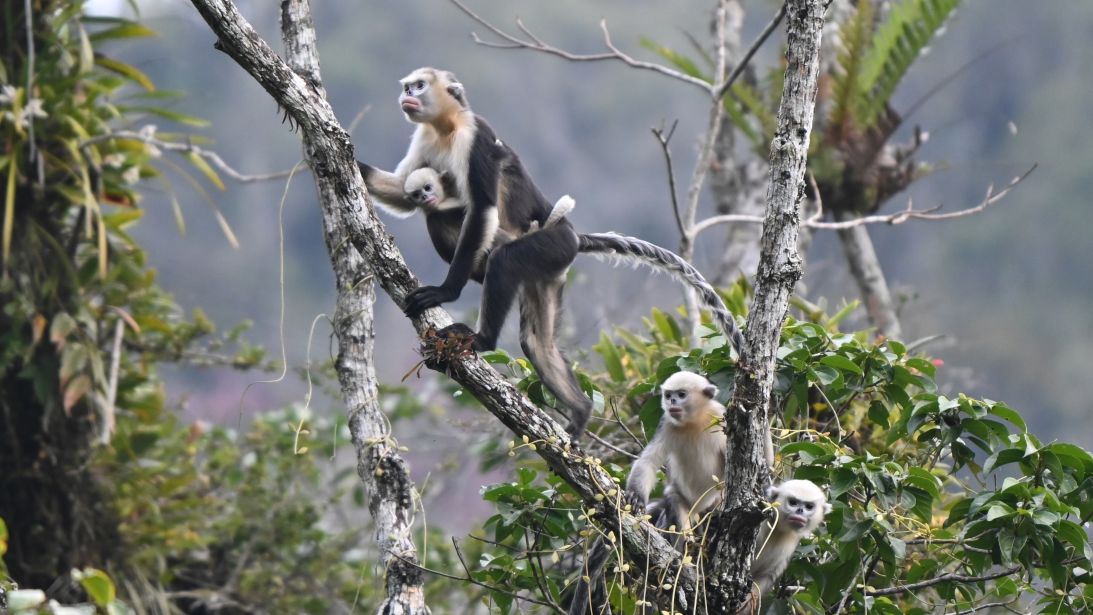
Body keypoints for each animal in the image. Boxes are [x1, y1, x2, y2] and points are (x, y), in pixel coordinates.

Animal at [358, 68, 747, 438]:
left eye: (419, 86)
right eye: (408, 86)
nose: (407, 96)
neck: (446, 128)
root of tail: (572, 235)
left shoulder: (475, 137)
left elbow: (481, 206)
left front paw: (446, 292)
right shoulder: (424, 138)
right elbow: (401, 190)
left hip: (550, 245)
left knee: (494, 254)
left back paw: (482, 338)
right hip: (547, 273)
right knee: (536, 343)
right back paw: (580, 411)